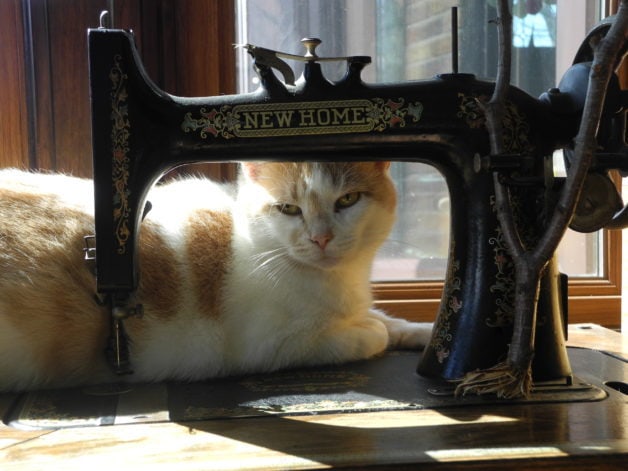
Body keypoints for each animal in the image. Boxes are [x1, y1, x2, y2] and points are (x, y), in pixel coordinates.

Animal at [0, 162, 432, 390]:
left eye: (347, 200)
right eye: (289, 209)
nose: (321, 238)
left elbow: (388, 319)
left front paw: (422, 332)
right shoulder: (276, 346)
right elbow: (368, 334)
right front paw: (374, 332)